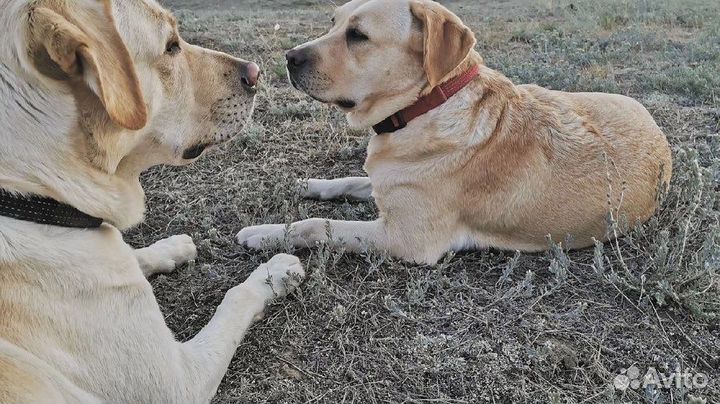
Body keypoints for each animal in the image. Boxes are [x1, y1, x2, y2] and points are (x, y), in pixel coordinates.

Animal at [0, 0, 304, 404]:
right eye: (171, 46)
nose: (256, 72)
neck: (31, 192)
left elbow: (135, 254)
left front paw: (172, 247)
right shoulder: (179, 383)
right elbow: (236, 296)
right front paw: (276, 270)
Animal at [239, 0, 672, 266]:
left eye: (358, 35)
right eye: (333, 23)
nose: (288, 58)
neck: (426, 105)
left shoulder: (404, 238)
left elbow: (317, 225)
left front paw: (263, 234)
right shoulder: (387, 185)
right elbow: (348, 181)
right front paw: (308, 184)